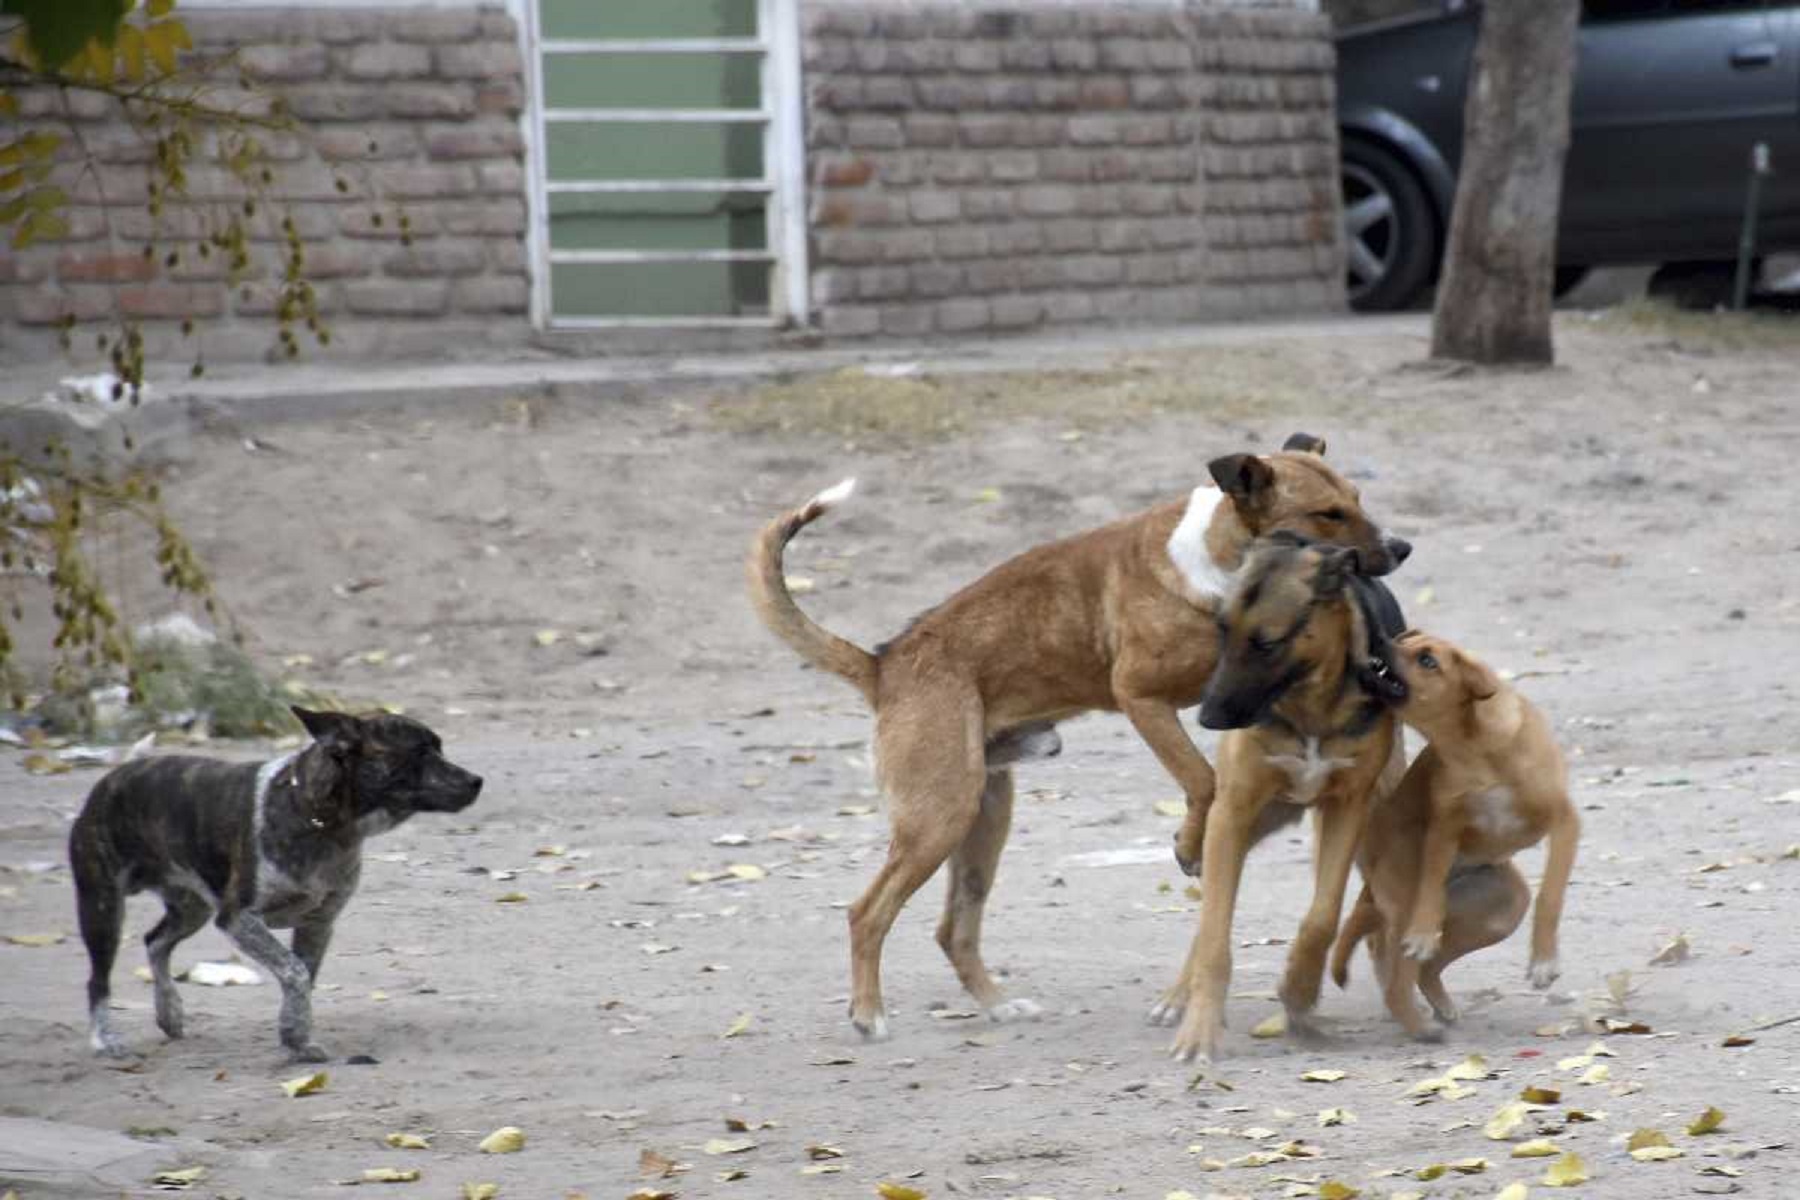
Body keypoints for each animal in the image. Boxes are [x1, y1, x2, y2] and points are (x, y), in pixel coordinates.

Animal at [70, 708, 482, 1065]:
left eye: (439, 747)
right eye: (421, 752)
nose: (477, 781)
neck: (320, 819)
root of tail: (110, 780)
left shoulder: (317, 923)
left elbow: (302, 979)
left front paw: (295, 1036)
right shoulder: (239, 919)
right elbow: (294, 972)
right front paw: (295, 1035)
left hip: (192, 909)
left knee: (155, 941)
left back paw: (169, 1011)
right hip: (103, 908)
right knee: (98, 981)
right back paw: (106, 1040)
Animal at [1332, 629, 1584, 1043]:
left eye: (1427, 660)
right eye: (1404, 640)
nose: (1381, 639)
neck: (1475, 747)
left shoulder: (1565, 821)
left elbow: (1551, 893)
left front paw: (1544, 961)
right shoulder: (1444, 828)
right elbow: (1430, 884)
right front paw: (1422, 931)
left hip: (1502, 907)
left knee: (1424, 968)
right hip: (1406, 899)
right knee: (1401, 973)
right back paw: (1419, 1024)